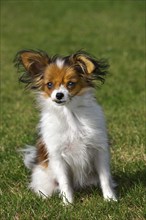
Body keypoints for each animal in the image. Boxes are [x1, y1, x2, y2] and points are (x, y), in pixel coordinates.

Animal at [14, 50, 117, 205]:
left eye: (70, 84)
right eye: (49, 84)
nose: (59, 95)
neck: (69, 114)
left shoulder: (99, 150)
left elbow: (105, 178)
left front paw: (110, 199)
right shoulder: (58, 156)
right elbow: (65, 182)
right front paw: (68, 203)